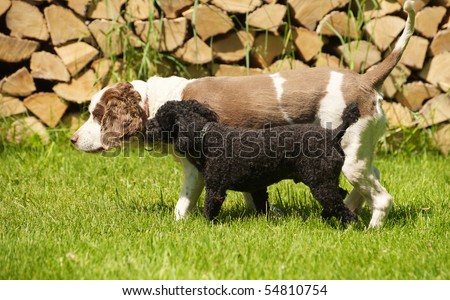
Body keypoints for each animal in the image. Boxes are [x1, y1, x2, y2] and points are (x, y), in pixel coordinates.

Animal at [147, 101, 358, 225]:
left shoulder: (215, 188)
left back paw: (348, 224)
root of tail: (333, 135)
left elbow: (209, 209)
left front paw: (206, 226)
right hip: (325, 180)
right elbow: (262, 206)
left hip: (320, 183)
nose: (147, 125)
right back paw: (325, 216)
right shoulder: (258, 187)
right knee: (340, 195)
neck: (206, 136)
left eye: (159, 119)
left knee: (342, 208)